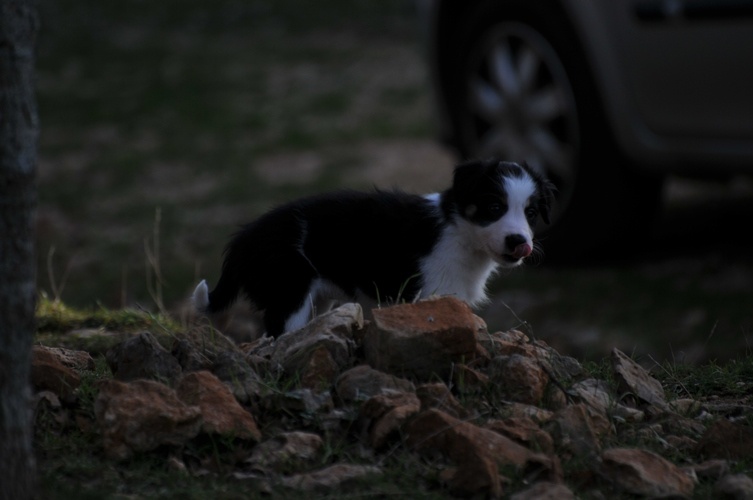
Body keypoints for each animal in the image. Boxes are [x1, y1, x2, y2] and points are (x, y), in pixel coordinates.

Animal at [194, 159, 552, 340]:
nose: (519, 241)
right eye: (494, 207)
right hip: (288, 293)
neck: (460, 232)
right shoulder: (429, 295)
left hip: (317, 301)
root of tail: (243, 238)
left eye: (531, 213)